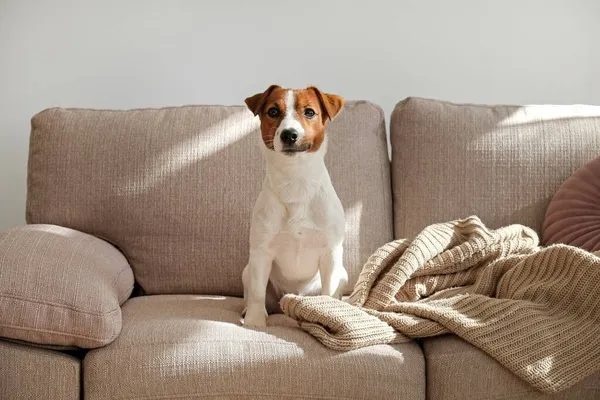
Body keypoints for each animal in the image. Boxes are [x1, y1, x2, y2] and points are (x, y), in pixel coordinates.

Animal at [241, 84, 350, 328]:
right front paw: (254, 321)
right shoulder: (261, 252)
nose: (289, 134)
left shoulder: (330, 253)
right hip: (247, 270)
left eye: (309, 112)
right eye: (273, 111)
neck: (295, 182)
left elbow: (329, 293)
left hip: (342, 273)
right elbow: (257, 293)